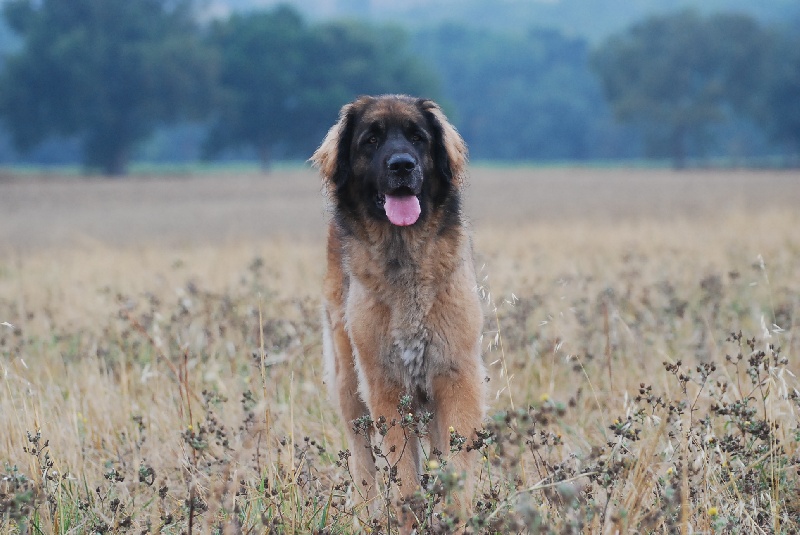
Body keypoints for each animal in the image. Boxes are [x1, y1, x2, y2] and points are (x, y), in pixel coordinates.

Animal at [311, 95, 486, 529]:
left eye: (418, 137)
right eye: (371, 140)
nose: (402, 165)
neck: (404, 252)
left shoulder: (457, 378)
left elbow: (456, 463)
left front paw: (454, 518)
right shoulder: (386, 388)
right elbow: (403, 479)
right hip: (348, 382)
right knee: (362, 462)